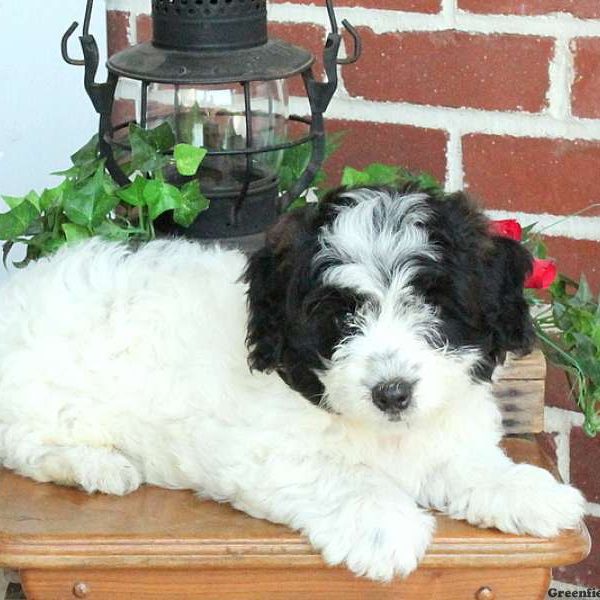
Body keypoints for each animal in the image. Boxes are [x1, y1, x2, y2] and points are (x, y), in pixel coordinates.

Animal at [0, 188, 584, 580]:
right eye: (342, 316)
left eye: (434, 306)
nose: (392, 393)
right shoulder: (262, 452)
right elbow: (344, 475)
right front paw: (383, 524)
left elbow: (468, 463)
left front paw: (526, 491)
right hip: (40, 396)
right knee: (26, 445)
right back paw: (94, 465)